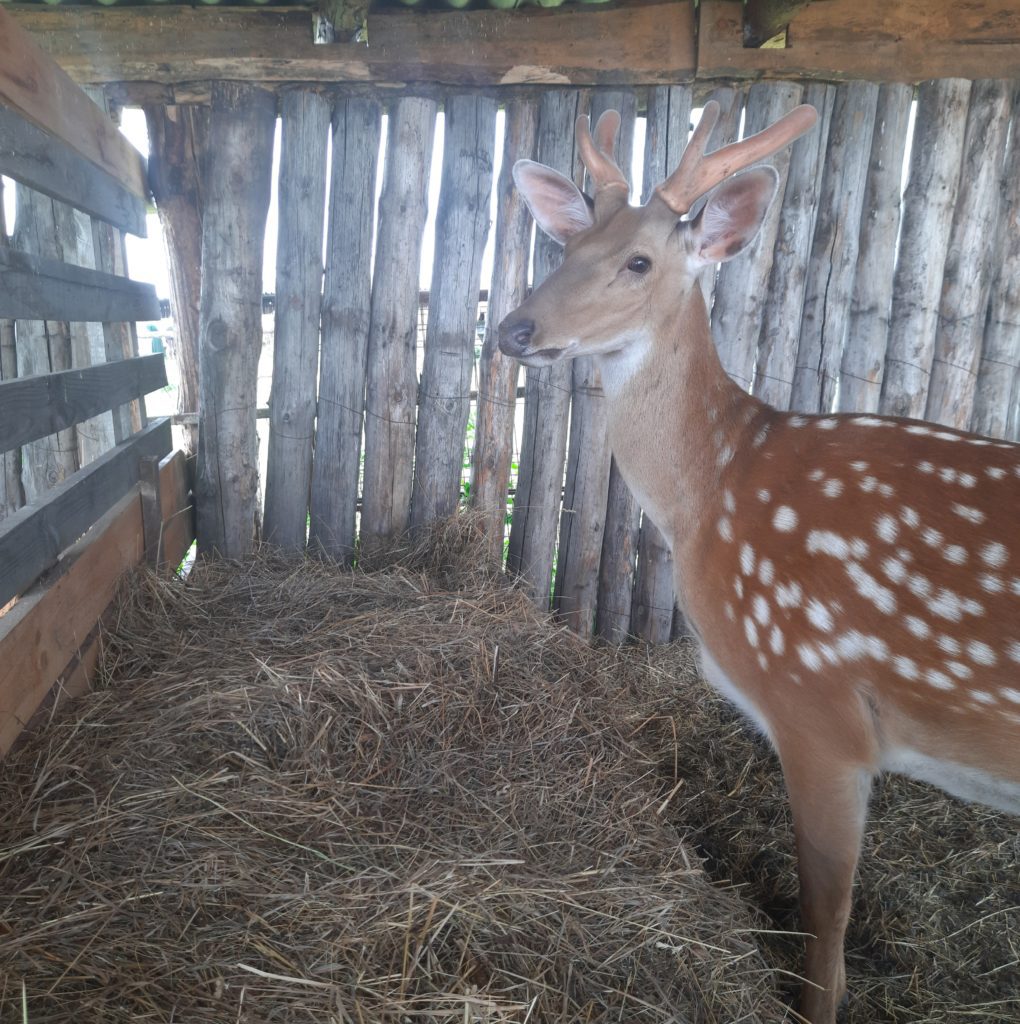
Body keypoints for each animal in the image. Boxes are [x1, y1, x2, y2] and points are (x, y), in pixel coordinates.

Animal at [497, 97, 1020, 1024]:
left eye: (639, 259)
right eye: (565, 245)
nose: (512, 330)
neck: (711, 497)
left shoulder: (819, 705)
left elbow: (825, 926)